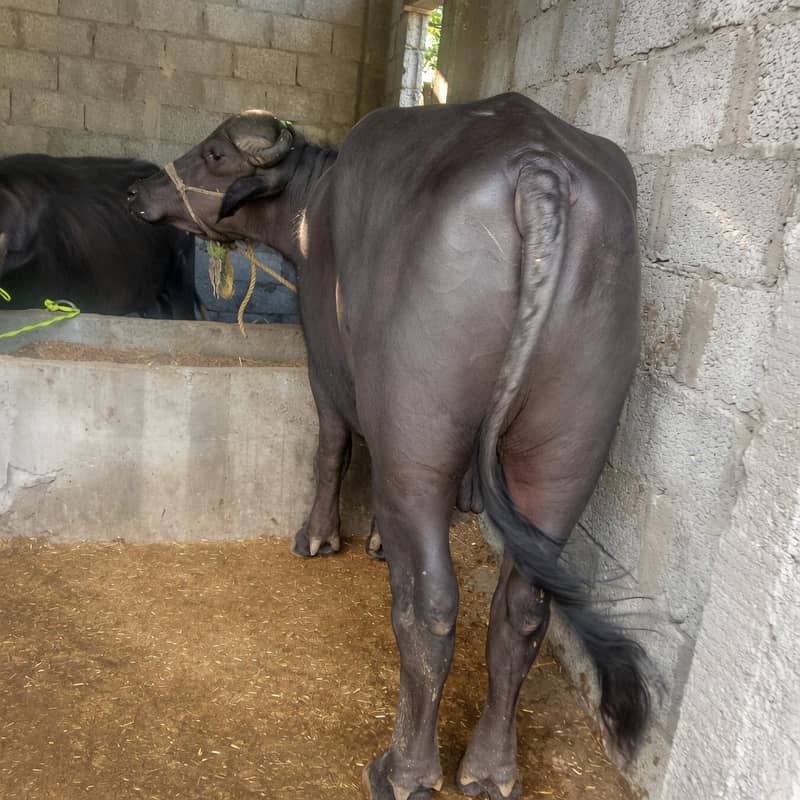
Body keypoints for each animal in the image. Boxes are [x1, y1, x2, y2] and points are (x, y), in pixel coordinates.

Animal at [128, 93, 650, 800]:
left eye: (213, 153)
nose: (138, 191)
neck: (312, 212)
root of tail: (538, 170)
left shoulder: (326, 366)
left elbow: (335, 449)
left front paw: (319, 537)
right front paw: (376, 539)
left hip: (420, 433)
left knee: (429, 606)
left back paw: (403, 771)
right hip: (565, 454)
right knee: (521, 610)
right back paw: (490, 771)